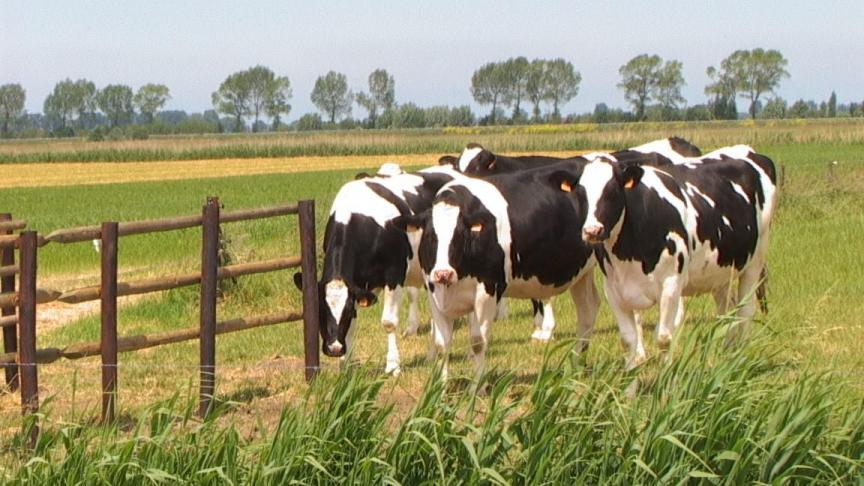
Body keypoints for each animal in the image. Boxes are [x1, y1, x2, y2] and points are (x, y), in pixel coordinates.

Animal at [296, 165, 462, 374]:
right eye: (321, 310)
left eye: (345, 311)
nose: (334, 348)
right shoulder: (357, 285)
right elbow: (353, 325)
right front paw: (345, 365)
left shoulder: (394, 275)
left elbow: (389, 322)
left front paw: (393, 365)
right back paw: (431, 356)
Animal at [392, 163, 600, 380]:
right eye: (431, 237)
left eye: (460, 236)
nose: (443, 273)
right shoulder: (435, 292)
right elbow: (442, 344)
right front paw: (440, 386)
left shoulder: (487, 292)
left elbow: (477, 342)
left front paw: (478, 385)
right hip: (582, 275)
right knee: (588, 311)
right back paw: (576, 367)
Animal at [572, 146, 776, 370]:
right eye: (581, 194)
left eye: (612, 191)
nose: (592, 231)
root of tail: (750, 151)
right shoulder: (614, 290)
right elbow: (627, 340)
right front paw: (630, 376)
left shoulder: (671, 283)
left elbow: (663, 337)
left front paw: (667, 375)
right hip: (722, 270)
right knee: (727, 309)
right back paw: (727, 353)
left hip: (756, 259)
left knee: (746, 311)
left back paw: (741, 357)